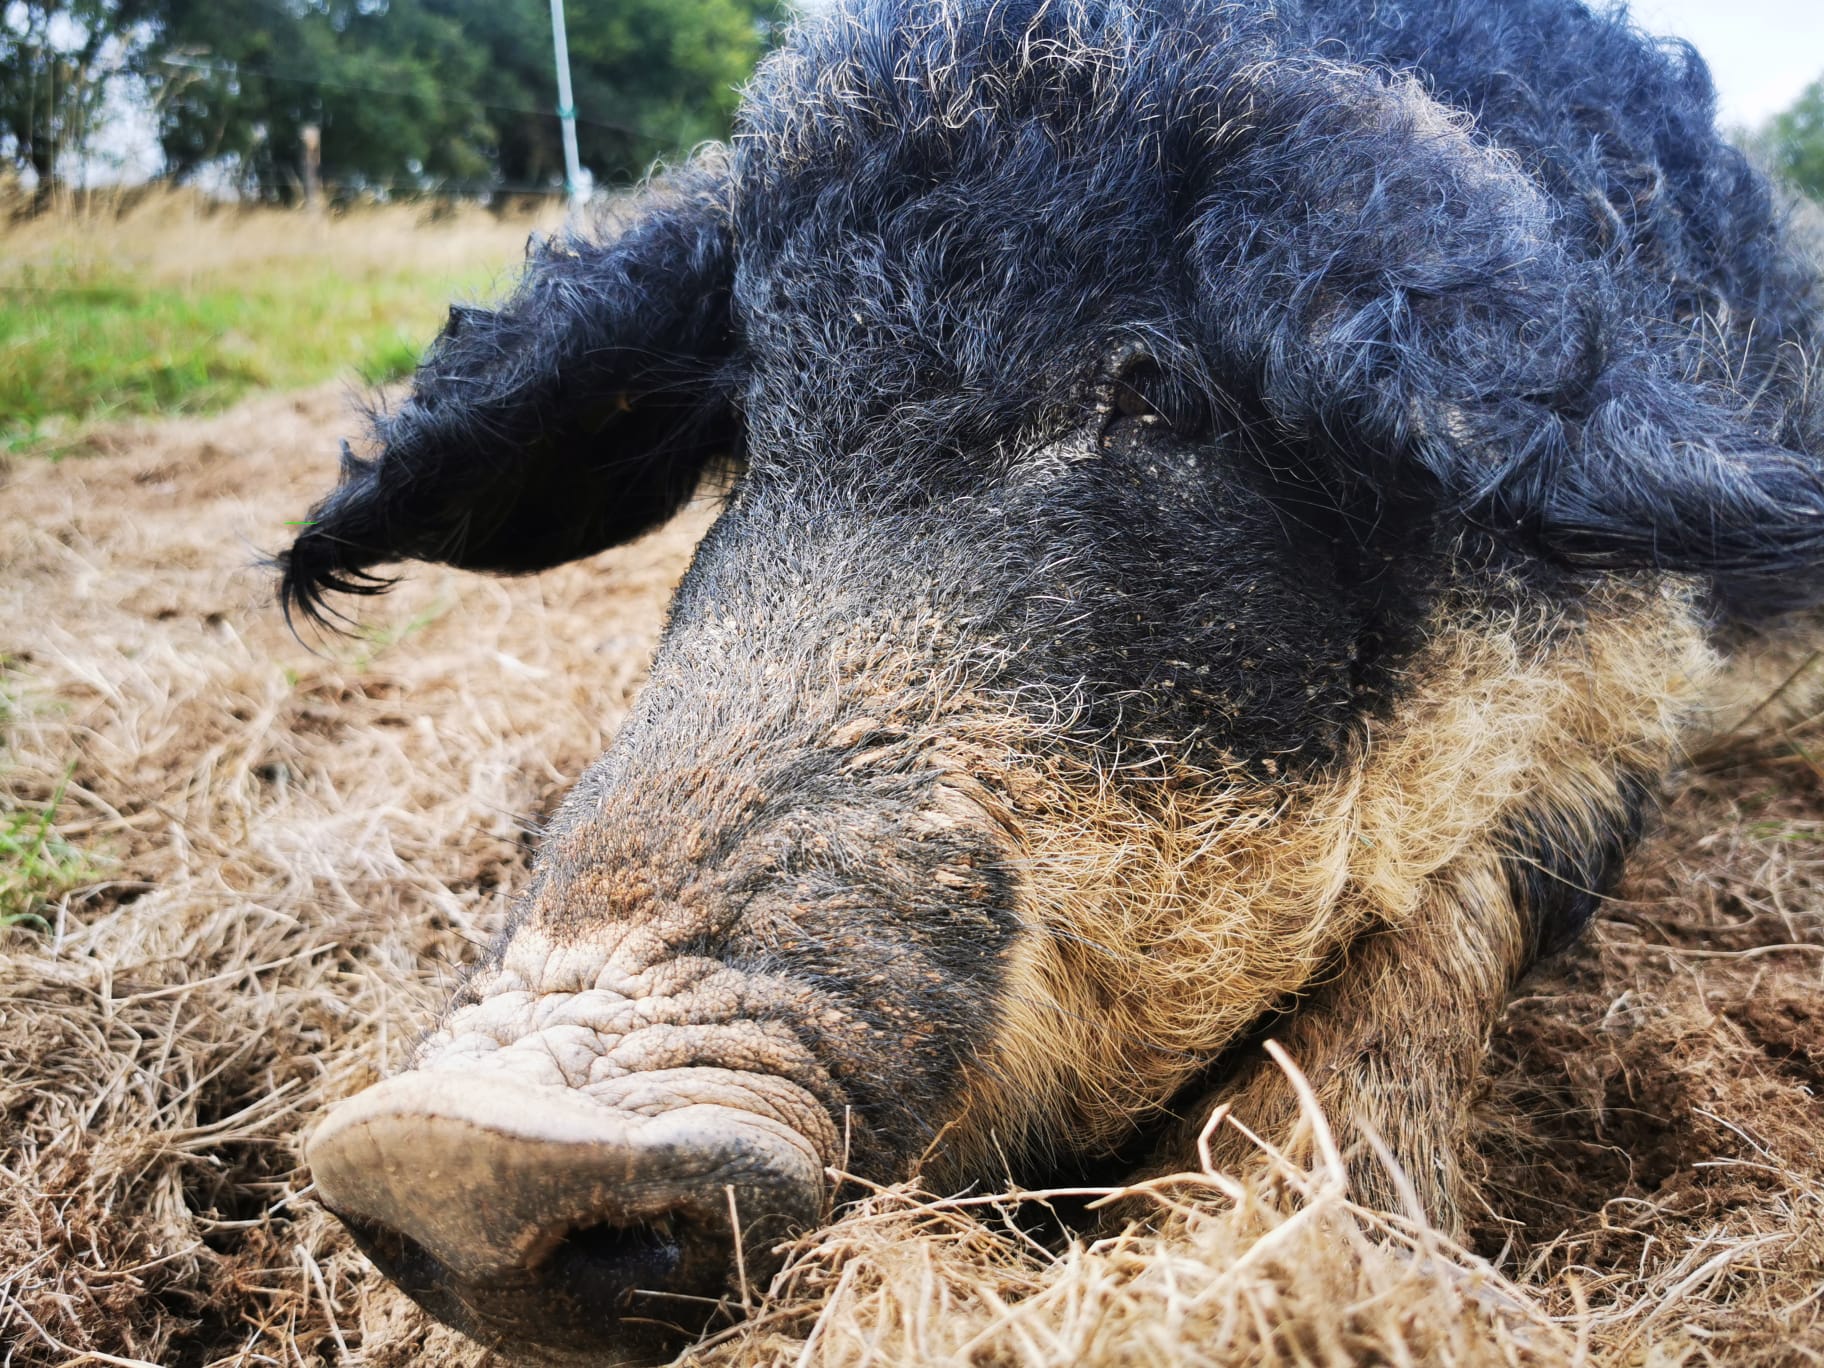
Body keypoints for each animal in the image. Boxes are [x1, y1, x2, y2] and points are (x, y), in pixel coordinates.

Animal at [279, 0, 1824, 1357]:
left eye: (1160, 399)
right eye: (749, 423)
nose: (459, 1151)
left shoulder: (1638, 678)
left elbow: (1453, 923)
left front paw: (1216, 1251)